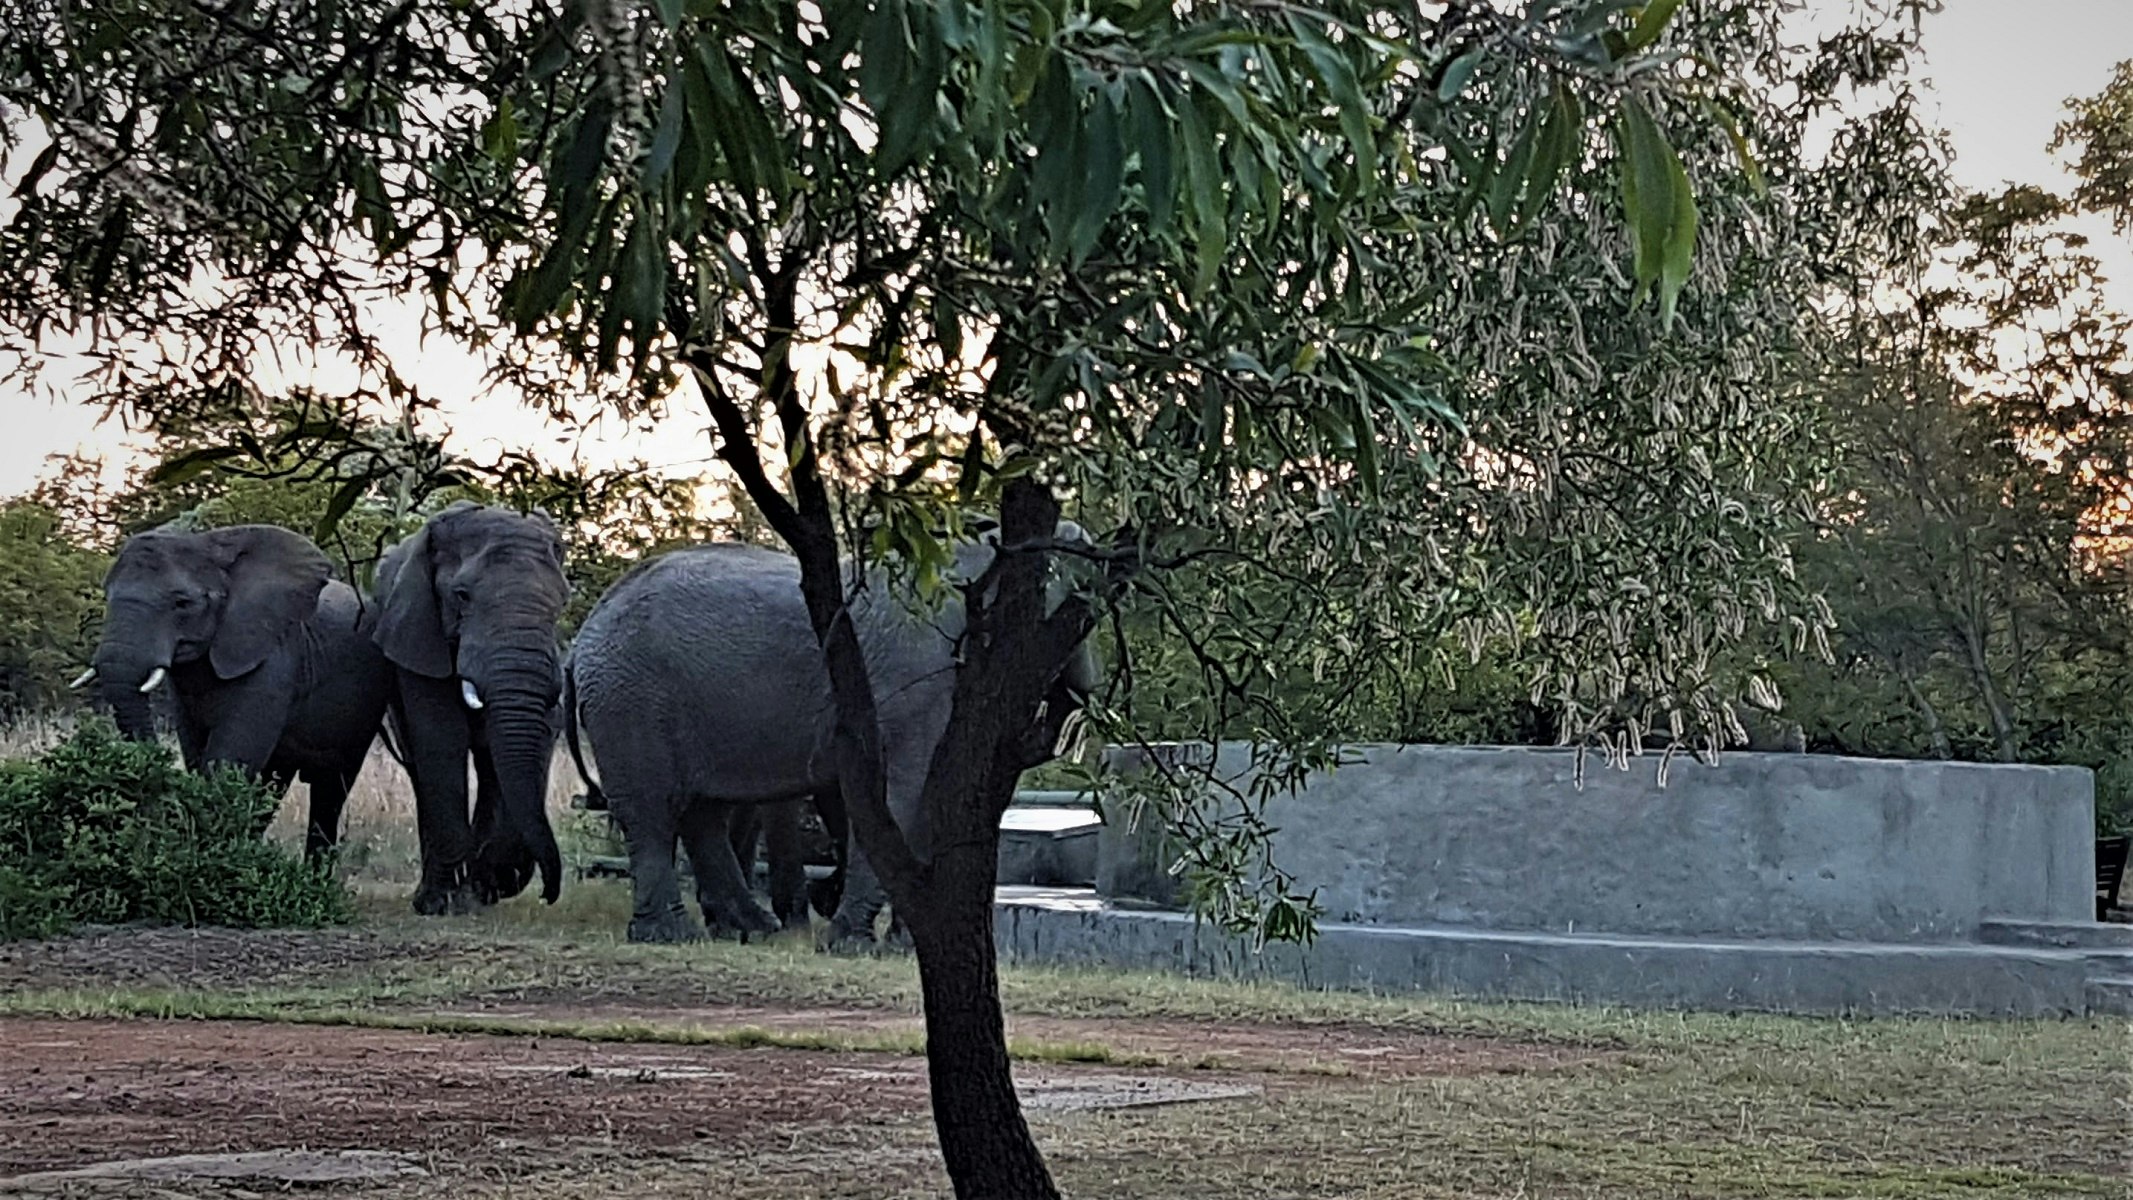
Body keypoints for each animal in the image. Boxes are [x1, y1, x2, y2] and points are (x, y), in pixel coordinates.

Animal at [80, 524, 392, 859]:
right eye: (107, 596)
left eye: (182, 603)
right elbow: (198, 752)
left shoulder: (273, 660)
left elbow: (230, 759)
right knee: (275, 782)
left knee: (330, 789)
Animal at [372, 501, 570, 914]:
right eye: (462, 596)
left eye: (563, 601)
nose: (548, 894)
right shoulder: (419, 629)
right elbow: (441, 735)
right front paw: (447, 903)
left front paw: (491, 884)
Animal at [563, 531, 1098, 945]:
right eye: (1077, 615)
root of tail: (582, 638)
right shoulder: (911, 673)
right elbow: (896, 795)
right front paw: (854, 944)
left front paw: (904, 945)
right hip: (632, 700)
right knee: (655, 810)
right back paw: (676, 936)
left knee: (701, 813)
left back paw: (755, 929)